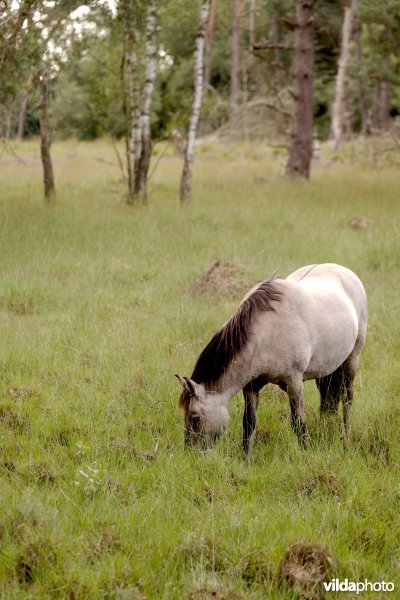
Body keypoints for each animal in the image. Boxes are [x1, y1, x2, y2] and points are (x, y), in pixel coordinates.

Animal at [177, 264, 368, 454]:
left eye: (195, 418)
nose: (192, 454)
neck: (266, 332)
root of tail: (343, 270)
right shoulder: (251, 386)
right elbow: (249, 424)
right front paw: (246, 458)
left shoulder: (294, 383)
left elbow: (298, 424)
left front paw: (305, 455)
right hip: (326, 369)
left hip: (352, 360)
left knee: (348, 399)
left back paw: (346, 437)